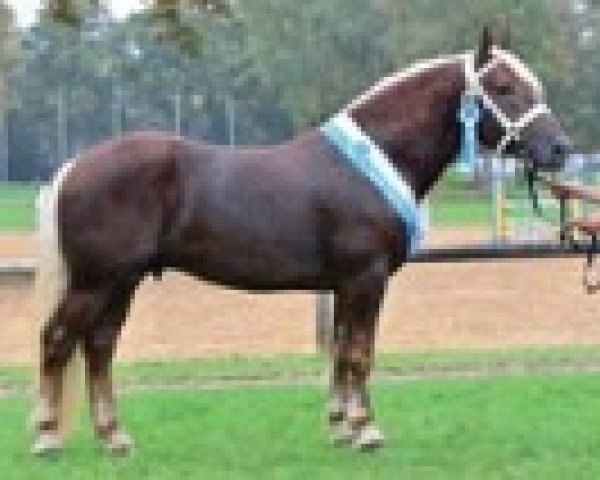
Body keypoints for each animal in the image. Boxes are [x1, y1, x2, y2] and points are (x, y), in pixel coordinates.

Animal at [31, 25, 572, 454]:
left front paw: (340, 427)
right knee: (58, 339)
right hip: (96, 281)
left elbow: (341, 349)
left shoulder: (345, 284)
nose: (560, 148)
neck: (373, 158)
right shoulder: (366, 277)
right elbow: (359, 353)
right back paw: (47, 437)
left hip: (122, 281)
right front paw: (366, 430)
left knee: (99, 346)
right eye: (503, 87)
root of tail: (74, 166)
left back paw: (113, 437)